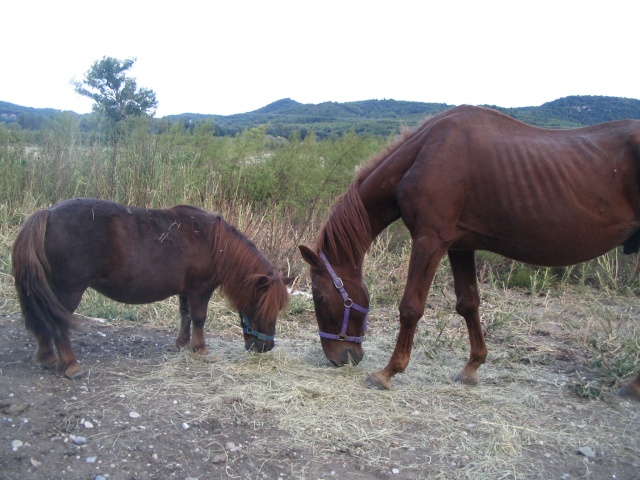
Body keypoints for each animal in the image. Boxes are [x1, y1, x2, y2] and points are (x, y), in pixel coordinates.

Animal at [13, 197, 292, 376]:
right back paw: (71, 365)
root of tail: (47, 214)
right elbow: (199, 318)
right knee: (58, 324)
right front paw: (200, 350)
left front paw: (181, 343)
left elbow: (185, 316)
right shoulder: (200, 290)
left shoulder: (186, 291)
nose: (265, 347)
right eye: (263, 308)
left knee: (43, 319)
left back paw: (48, 357)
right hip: (68, 292)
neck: (215, 244)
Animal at [300, 106, 640, 402]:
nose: (340, 359)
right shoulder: (460, 245)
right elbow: (468, 304)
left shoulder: (430, 239)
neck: (425, 153)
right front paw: (472, 367)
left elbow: (411, 307)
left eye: (319, 297)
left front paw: (387, 373)